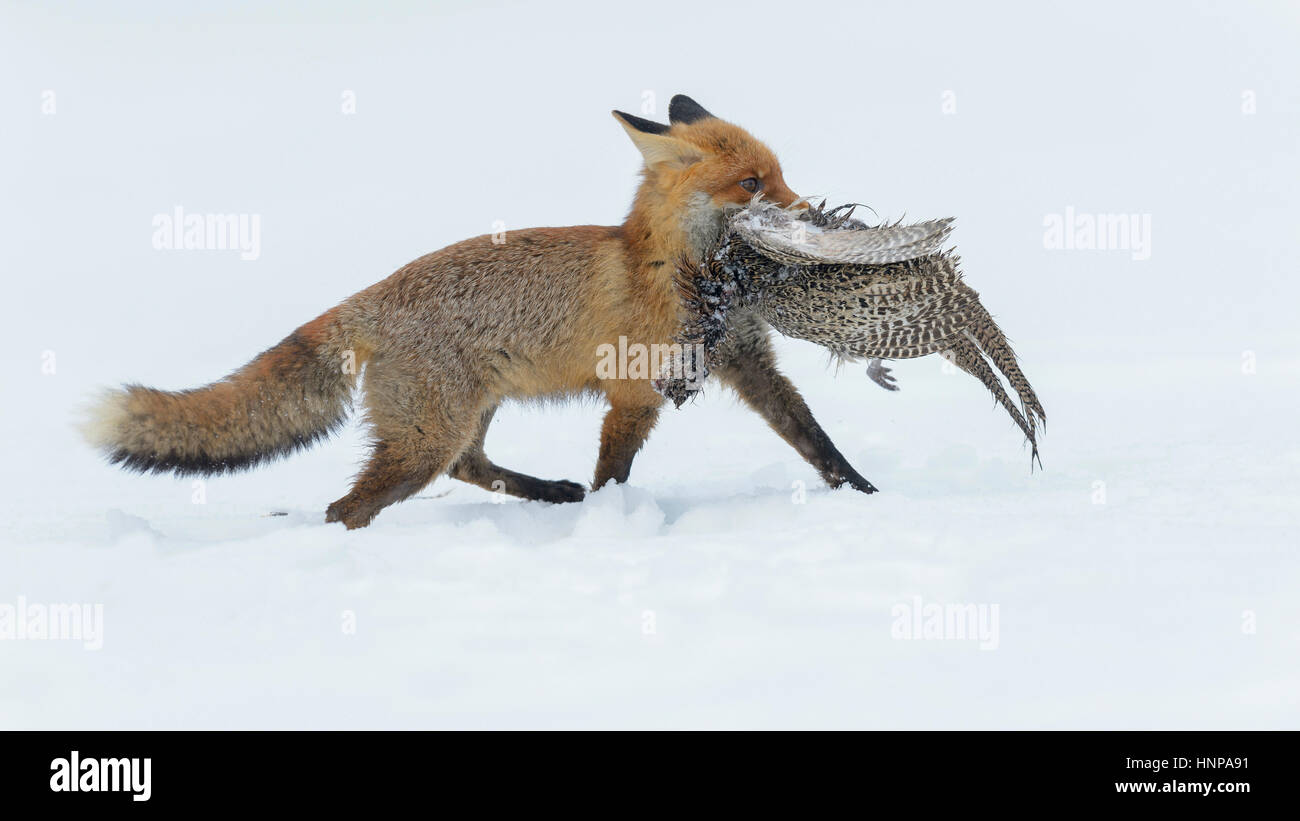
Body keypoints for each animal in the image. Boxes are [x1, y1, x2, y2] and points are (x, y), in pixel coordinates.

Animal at [81, 94, 873, 524]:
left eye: (780, 174)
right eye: (752, 183)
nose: (814, 215)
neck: (689, 275)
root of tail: (369, 296)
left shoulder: (746, 363)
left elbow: (816, 441)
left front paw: (867, 495)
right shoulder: (633, 390)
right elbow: (615, 471)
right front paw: (612, 523)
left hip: (465, 417)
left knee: (470, 466)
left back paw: (551, 493)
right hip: (425, 437)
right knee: (352, 506)